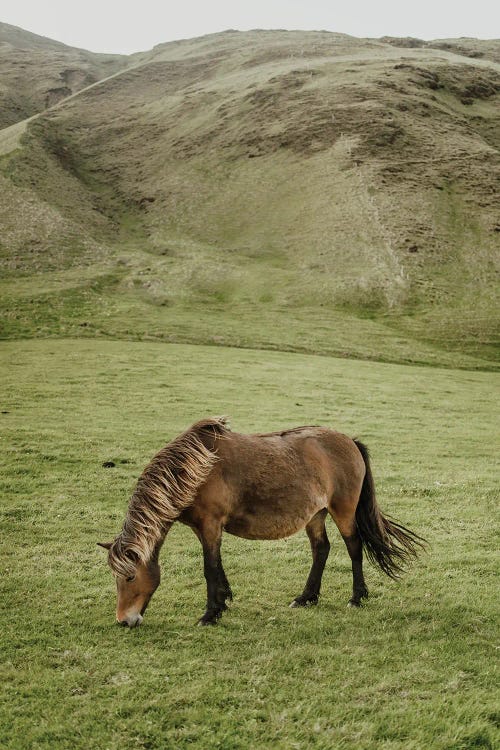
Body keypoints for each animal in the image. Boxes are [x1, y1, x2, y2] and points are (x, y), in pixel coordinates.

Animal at [98, 418, 426, 628]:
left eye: (129, 577)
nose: (124, 621)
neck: (193, 469)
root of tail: (350, 441)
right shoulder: (204, 528)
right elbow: (217, 565)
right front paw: (224, 601)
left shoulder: (210, 525)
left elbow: (209, 567)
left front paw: (210, 614)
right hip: (315, 515)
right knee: (321, 550)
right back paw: (306, 598)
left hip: (342, 511)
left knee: (354, 547)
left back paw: (357, 598)